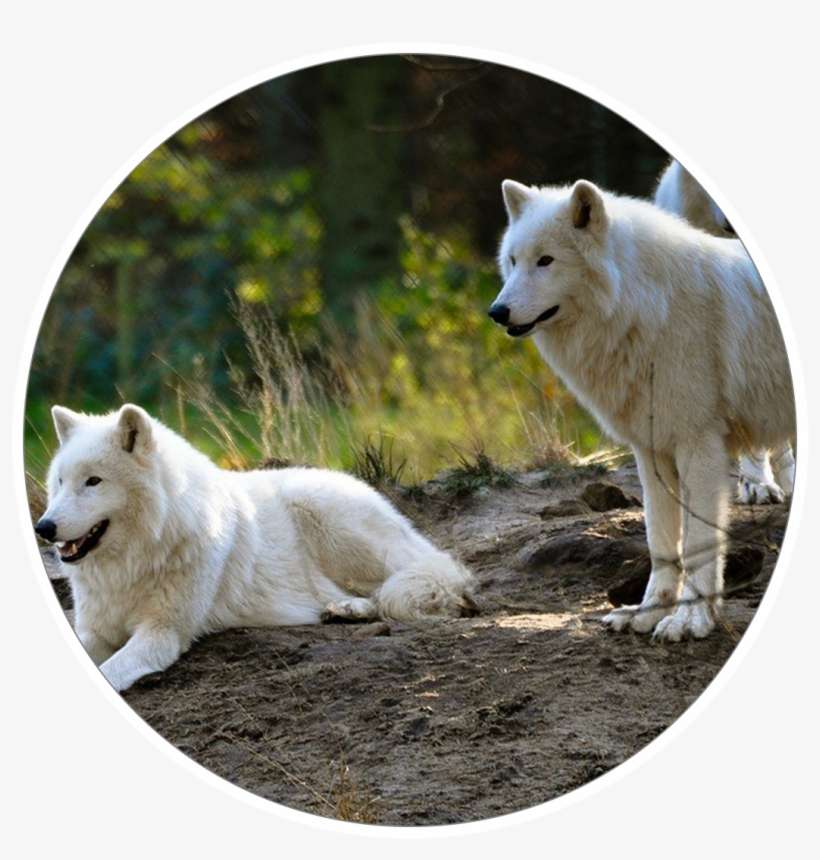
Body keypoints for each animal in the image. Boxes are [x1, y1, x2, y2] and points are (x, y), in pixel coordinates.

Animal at [34, 404, 477, 691]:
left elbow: (111, 671)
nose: (43, 527)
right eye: (60, 481)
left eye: (93, 481)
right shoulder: (92, 630)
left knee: (413, 582)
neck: (134, 561)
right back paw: (342, 610)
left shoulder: (163, 632)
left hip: (327, 517)